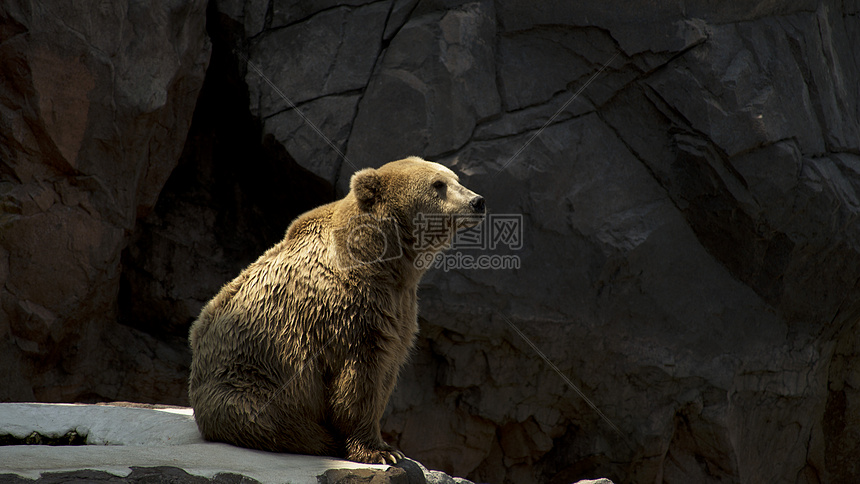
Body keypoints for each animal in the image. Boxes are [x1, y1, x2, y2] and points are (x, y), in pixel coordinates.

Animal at [188, 157, 484, 464]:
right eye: (438, 184)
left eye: (455, 178)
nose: (477, 201)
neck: (385, 259)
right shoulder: (349, 307)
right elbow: (360, 376)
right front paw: (380, 451)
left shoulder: (400, 304)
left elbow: (389, 365)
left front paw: (384, 446)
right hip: (249, 381)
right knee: (271, 419)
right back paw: (320, 439)